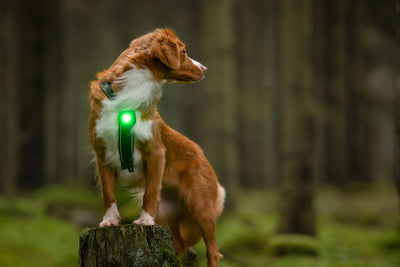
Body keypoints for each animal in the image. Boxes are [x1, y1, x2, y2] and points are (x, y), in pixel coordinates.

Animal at [88, 28, 225, 266]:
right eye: (183, 51)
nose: (205, 68)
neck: (132, 91)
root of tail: (202, 154)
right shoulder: (101, 154)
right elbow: (108, 193)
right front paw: (109, 220)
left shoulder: (156, 152)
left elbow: (151, 191)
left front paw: (145, 220)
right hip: (169, 215)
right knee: (179, 245)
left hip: (201, 206)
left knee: (213, 251)